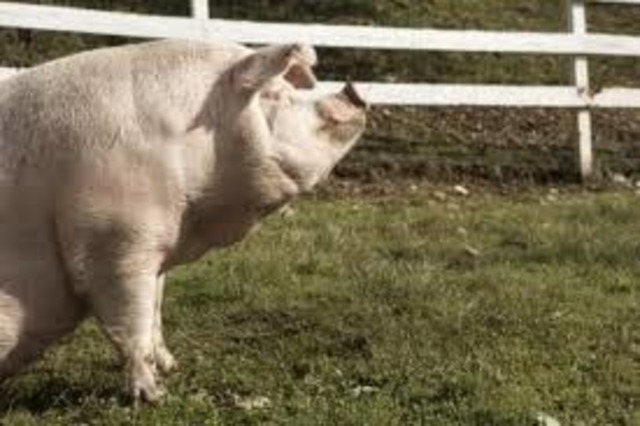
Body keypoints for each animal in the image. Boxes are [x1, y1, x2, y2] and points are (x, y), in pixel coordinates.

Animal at [0, 39, 367, 403]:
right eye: (274, 95)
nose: (352, 90)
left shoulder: (155, 246)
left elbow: (155, 309)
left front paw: (170, 366)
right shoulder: (114, 242)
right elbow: (130, 321)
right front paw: (153, 396)